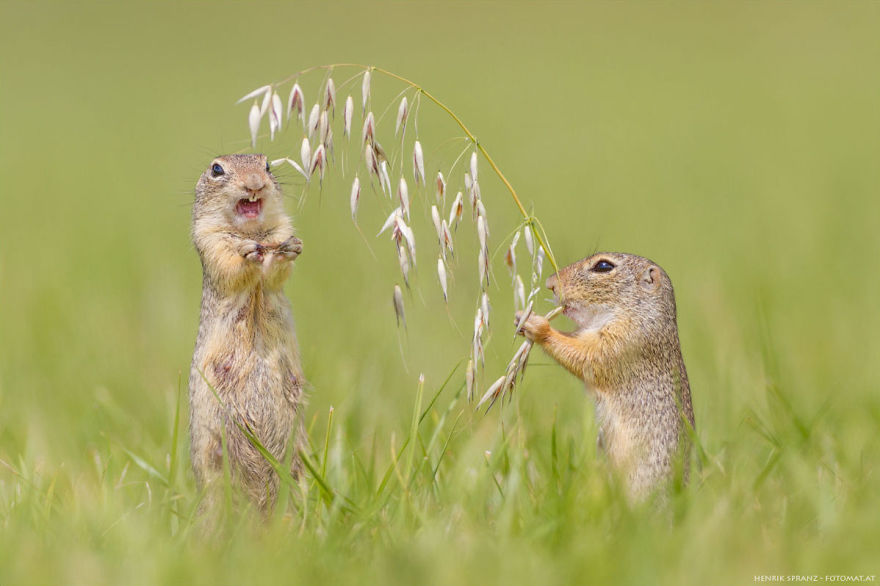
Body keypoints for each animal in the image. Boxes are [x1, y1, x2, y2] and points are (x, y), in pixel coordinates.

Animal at [189, 154, 305, 513]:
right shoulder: (210, 241)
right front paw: (249, 253)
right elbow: (231, 264)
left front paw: (289, 249)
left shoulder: (280, 229)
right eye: (217, 169)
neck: (253, 233)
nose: (254, 183)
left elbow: (276, 271)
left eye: (267, 165)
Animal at [515, 252, 695, 500]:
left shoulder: (623, 342)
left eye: (603, 266)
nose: (550, 283)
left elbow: (586, 356)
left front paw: (536, 323)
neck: (640, 313)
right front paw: (522, 317)